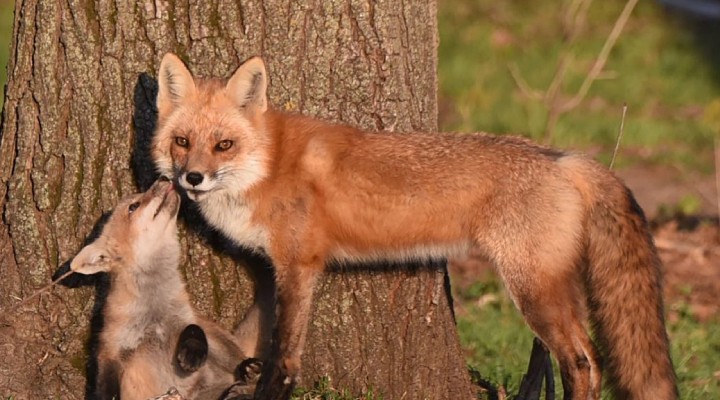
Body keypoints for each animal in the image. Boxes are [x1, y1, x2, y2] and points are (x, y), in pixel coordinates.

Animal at [68, 179, 262, 400]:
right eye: (133, 206)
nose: (164, 179)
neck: (154, 314)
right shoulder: (110, 349)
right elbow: (103, 386)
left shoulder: (186, 317)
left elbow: (194, 328)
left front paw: (192, 353)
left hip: (219, 345)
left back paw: (247, 374)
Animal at [150, 54, 676, 400]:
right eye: (182, 142)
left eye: (224, 145)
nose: (192, 178)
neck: (269, 164)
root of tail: (565, 157)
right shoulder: (274, 268)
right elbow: (263, 336)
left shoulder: (300, 266)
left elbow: (284, 356)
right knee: (589, 359)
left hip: (532, 290)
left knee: (583, 363)